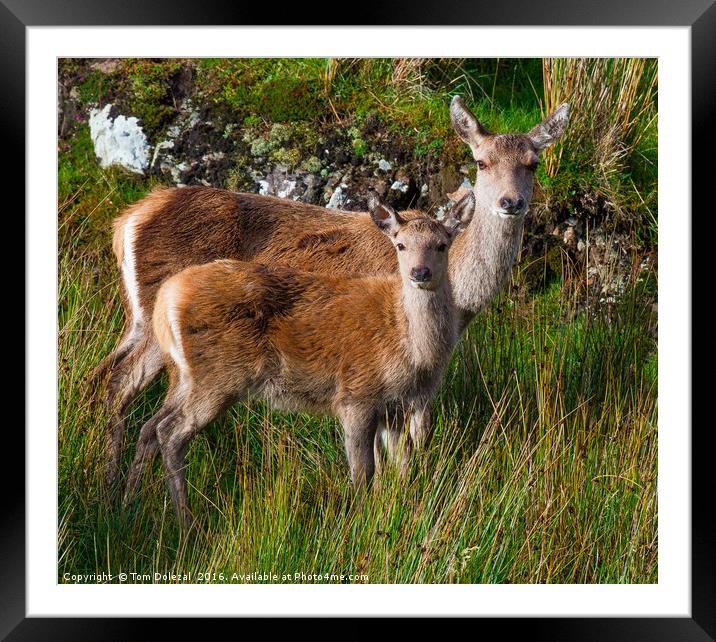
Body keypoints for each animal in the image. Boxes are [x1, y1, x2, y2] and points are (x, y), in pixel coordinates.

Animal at [93, 95, 572, 484]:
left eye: (533, 163)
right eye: (481, 162)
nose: (511, 203)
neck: (460, 304)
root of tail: (126, 221)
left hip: (144, 322)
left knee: (113, 378)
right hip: (159, 319)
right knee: (121, 384)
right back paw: (114, 487)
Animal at [126, 196, 476, 524]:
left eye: (442, 244)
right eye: (400, 245)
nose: (420, 272)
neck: (410, 348)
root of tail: (167, 300)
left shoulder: (399, 406)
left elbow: (404, 466)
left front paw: (404, 511)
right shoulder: (356, 394)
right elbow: (363, 473)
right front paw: (361, 522)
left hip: (186, 376)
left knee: (153, 425)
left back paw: (132, 502)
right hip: (217, 376)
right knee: (171, 433)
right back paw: (186, 522)